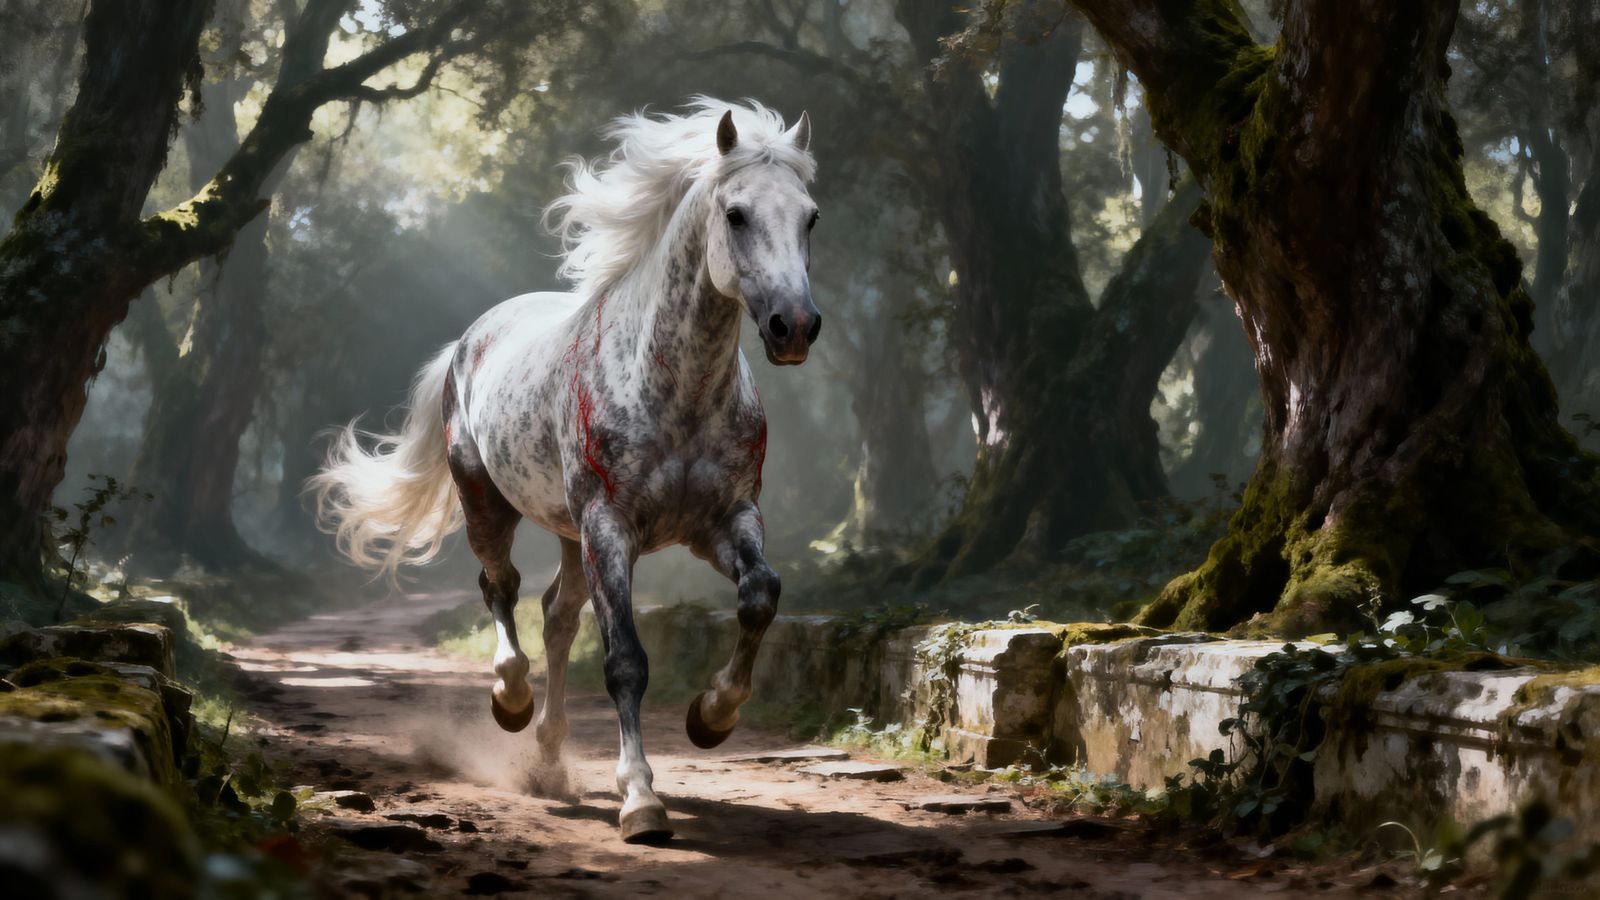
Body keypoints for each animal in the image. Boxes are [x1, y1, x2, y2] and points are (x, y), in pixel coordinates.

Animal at [310, 99, 821, 844]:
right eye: (736, 213)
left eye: (810, 216)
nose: (795, 327)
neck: (678, 391)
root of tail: (468, 340)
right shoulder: (611, 526)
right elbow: (625, 659)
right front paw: (641, 801)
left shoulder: (725, 519)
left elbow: (761, 595)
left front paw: (711, 715)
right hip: (492, 504)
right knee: (501, 589)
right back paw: (512, 702)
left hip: (569, 532)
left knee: (556, 615)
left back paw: (549, 757)